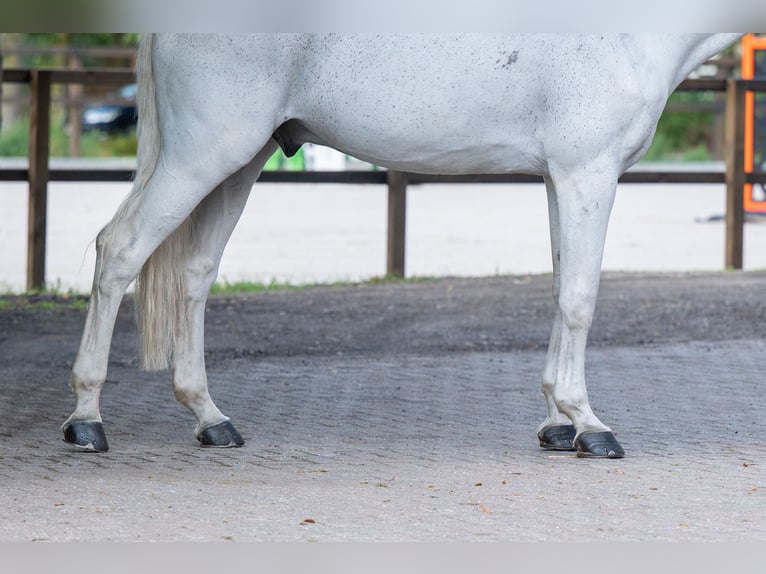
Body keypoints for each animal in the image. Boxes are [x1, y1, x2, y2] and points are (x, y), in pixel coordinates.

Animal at [62, 33, 743, 457]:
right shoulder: (588, 175)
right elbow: (579, 298)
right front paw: (589, 426)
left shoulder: (562, 179)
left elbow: (557, 290)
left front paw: (556, 424)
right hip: (203, 157)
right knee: (119, 251)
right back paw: (87, 422)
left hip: (238, 163)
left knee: (196, 273)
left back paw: (211, 420)